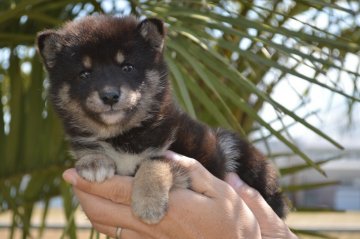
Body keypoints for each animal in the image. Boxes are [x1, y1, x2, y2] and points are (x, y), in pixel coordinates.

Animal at [35, 14, 286, 224]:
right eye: (84, 74)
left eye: (127, 67)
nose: (110, 96)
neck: (124, 135)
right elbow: (90, 151)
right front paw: (93, 161)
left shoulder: (200, 156)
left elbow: (157, 161)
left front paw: (149, 202)